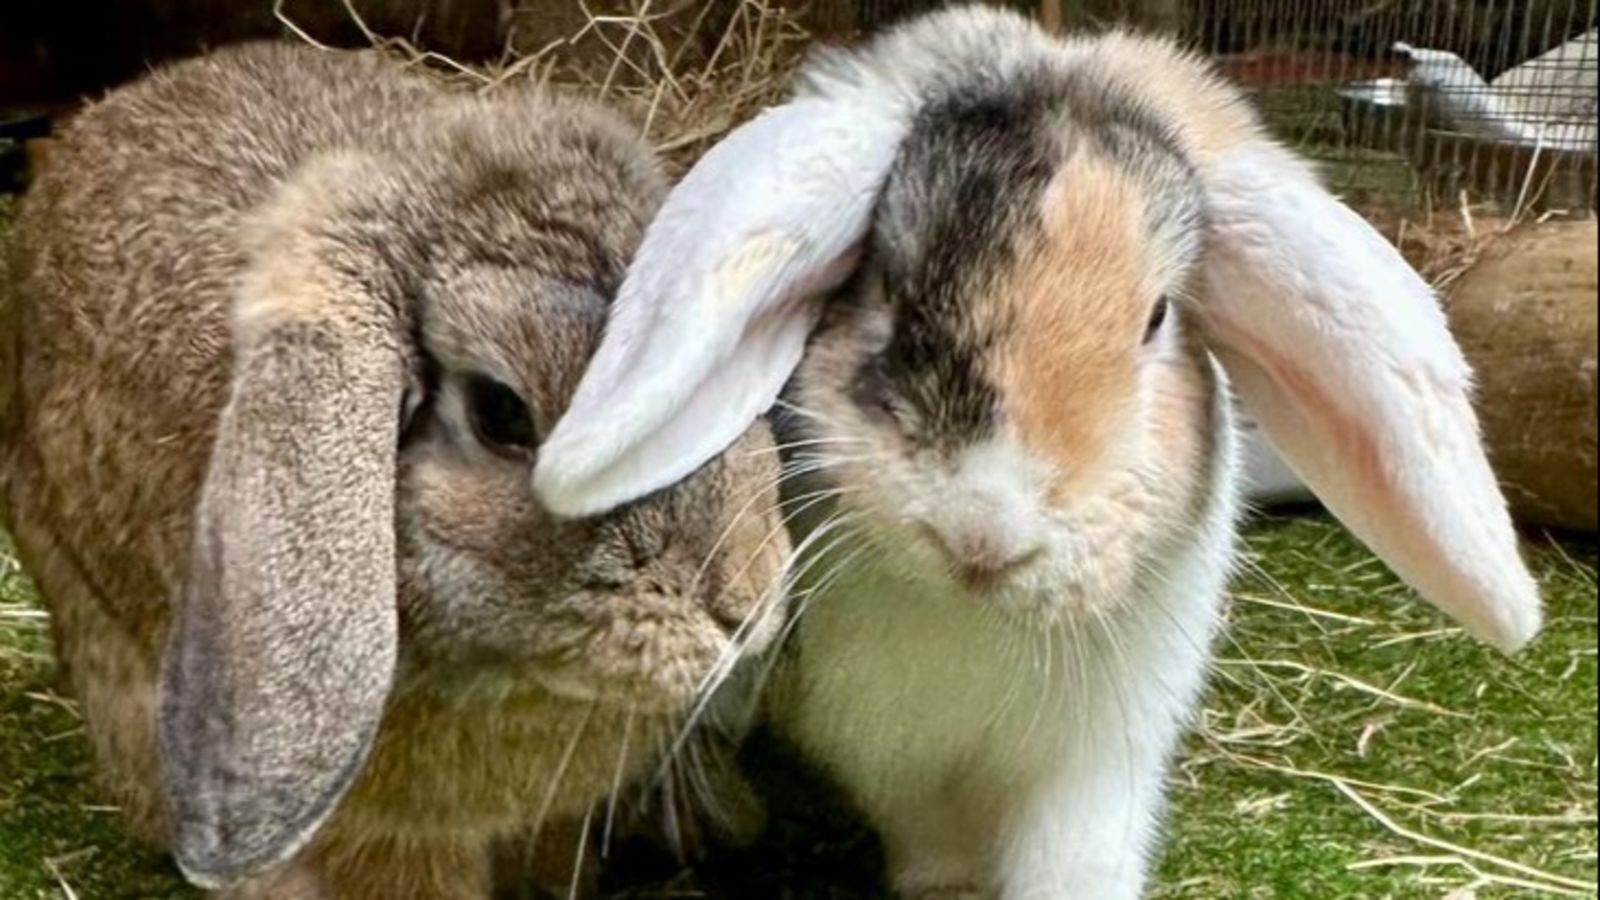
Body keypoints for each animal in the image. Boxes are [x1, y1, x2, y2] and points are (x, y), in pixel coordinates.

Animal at [530, 5, 1544, 899]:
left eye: (1156, 318)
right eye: (890, 288)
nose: (983, 533)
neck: (979, 619)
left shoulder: (1102, 754)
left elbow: (1076, 854)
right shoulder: (888, 752)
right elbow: (928, 837)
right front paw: (944, 886)